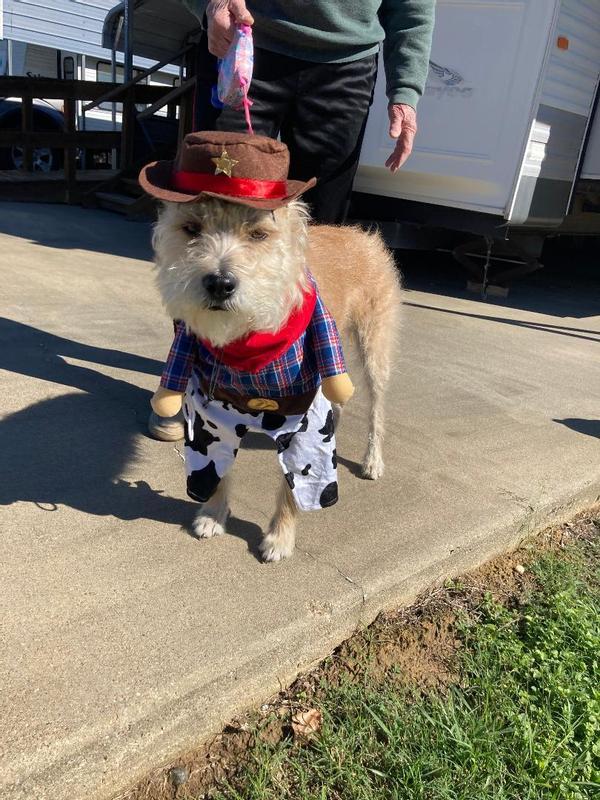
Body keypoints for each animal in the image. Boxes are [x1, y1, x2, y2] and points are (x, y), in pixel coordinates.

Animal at [143, 133, 400, 564]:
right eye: (191, 229)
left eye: (258, 235)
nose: (220, 283)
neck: (249, 342)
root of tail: (362, 235)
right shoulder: (211, 415)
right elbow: (218, 470)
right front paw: (213, 514)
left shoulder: (306, 423)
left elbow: (296, 486)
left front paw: (280, 537)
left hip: (373, 348)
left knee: (377, 409)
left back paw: (373, 460)